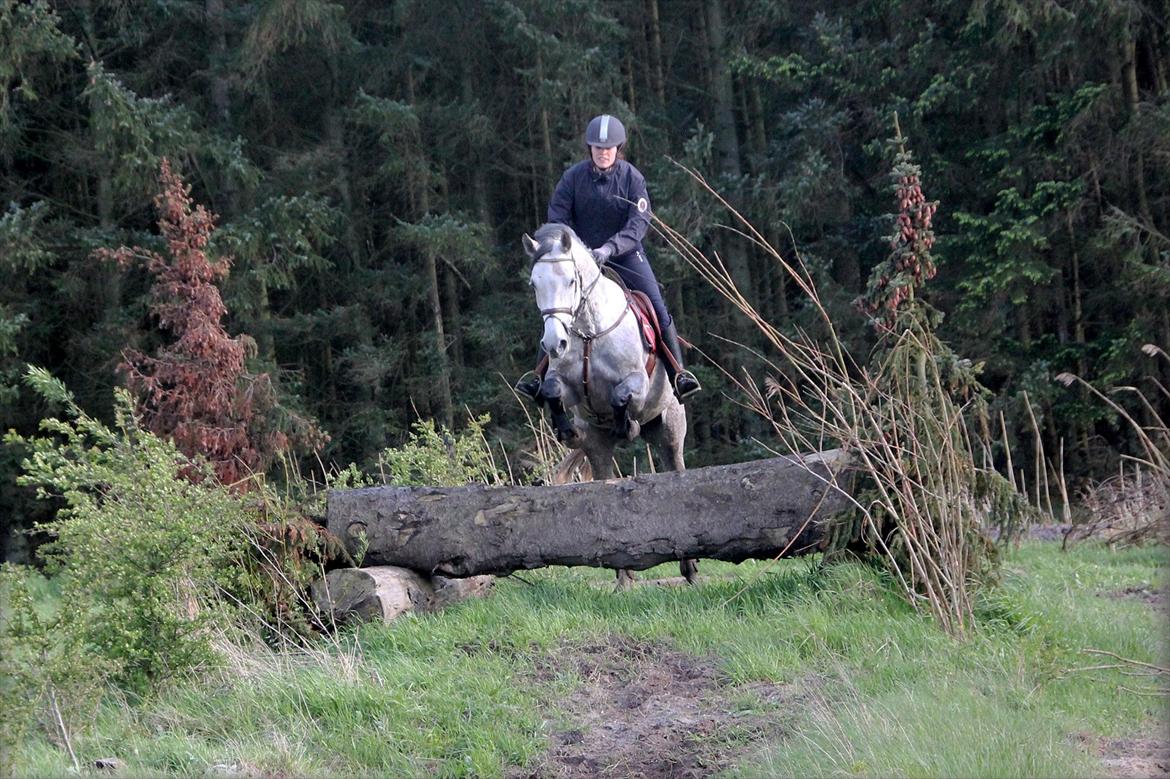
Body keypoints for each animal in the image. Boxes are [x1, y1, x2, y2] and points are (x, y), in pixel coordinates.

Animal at [521, 221, 692, 584]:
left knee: (676, 466)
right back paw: (623, 577)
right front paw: (567, 429)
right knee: (603, 478)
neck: (588, 330)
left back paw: (691, 569)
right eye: (534, 284)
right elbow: (553, 391)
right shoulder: (565, 386)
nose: (554, 343)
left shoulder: (637, 382)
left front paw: (626, 425)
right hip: (598, 449)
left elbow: (621, 395)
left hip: (671, 428)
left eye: (571, 281)